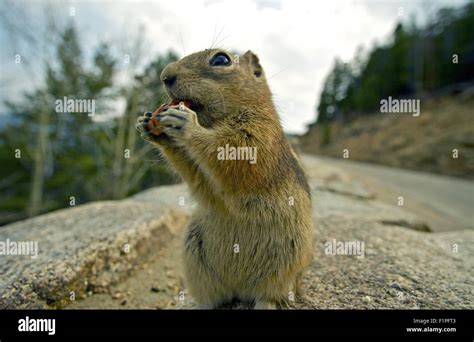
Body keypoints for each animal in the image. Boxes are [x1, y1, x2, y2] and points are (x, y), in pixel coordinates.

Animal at [136, 48, 314, 310]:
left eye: (221, 59)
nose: (165, 75)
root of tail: (240, 288)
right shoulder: (205, 182)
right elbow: (196, 176)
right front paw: (148, 125)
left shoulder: (256, 137)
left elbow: (226, 153)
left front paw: (186, 124)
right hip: (197, 262)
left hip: (284, 270)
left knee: (272, 295)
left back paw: (266, 304)